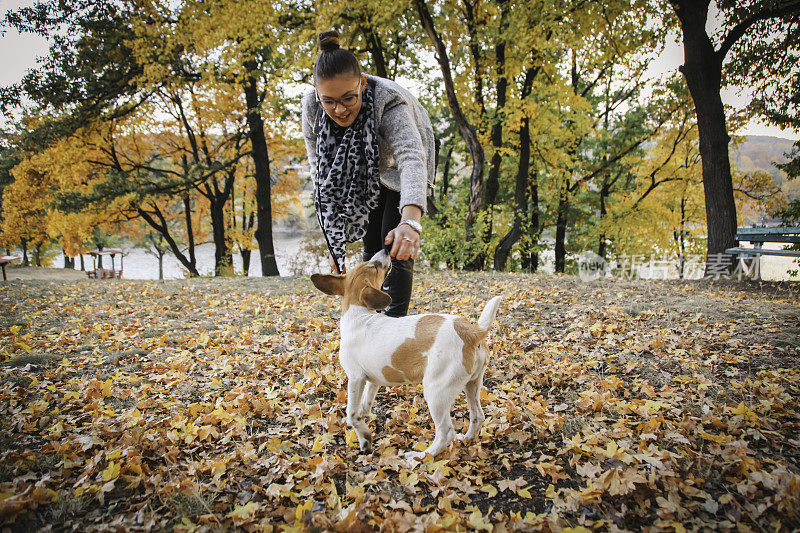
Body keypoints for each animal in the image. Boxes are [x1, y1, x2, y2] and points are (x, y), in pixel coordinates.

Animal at [310, 247, 504, 460]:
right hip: (472, 384)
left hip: (436, 392)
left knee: (446, 432)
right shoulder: (372, 381)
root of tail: (470, 331)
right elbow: (364, 407)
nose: (386, 249)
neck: (360, 316)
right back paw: (466, 439)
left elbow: (352, 413)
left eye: (372, 266)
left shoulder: (356, 378)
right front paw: (364, 429)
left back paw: (421, 456)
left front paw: (365, 438)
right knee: (478, 416)